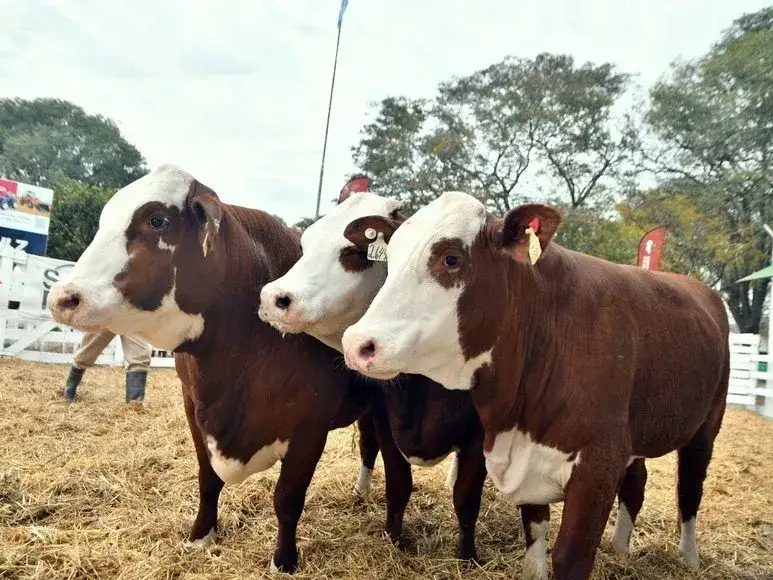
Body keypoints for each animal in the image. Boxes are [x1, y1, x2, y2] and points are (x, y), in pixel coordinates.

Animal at [46, 165, 409, 573]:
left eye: (157, 220)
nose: (63, 297)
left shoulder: (310, 427)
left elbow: (287, 498)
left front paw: (283, 561)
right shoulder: (193, 405)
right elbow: (207, 479)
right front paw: (200, 535)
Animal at [258, 191, 487, 561]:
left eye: (352, 253)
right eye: (304, 245)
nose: (274, 298)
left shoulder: (482, 432)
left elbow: (467, 497)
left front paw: (467, 557)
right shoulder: (384, 416)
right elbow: (398, 483)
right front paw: (393, 539)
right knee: (367, 445)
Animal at [340, 191, 729, 580]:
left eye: (452, 258)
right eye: (390, 258)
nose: (357, 343)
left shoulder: (598, 465)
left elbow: (569, 557)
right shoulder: (526, 461)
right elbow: (535, 539)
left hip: (706, 428)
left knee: (690, 490)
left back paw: (689, 558)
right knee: (637, 482)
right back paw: (620, 547)